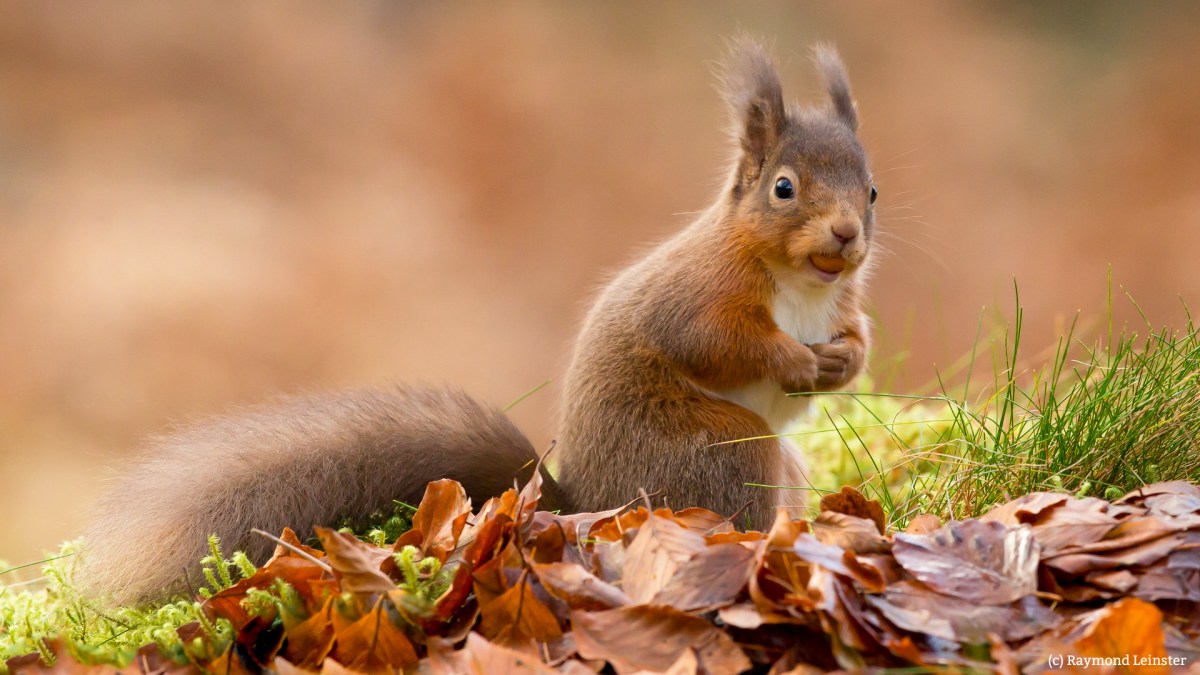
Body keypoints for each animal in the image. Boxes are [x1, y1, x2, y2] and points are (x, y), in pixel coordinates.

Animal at [73, 39, 875, 606]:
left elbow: (853, 343)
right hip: (721, 451)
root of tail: (588, 507)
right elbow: (713, 340)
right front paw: (795, 360)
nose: (846, 236)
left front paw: (843, 359)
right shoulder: (700, 291)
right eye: (783, 189)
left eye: (870, 189)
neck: (801, 283)